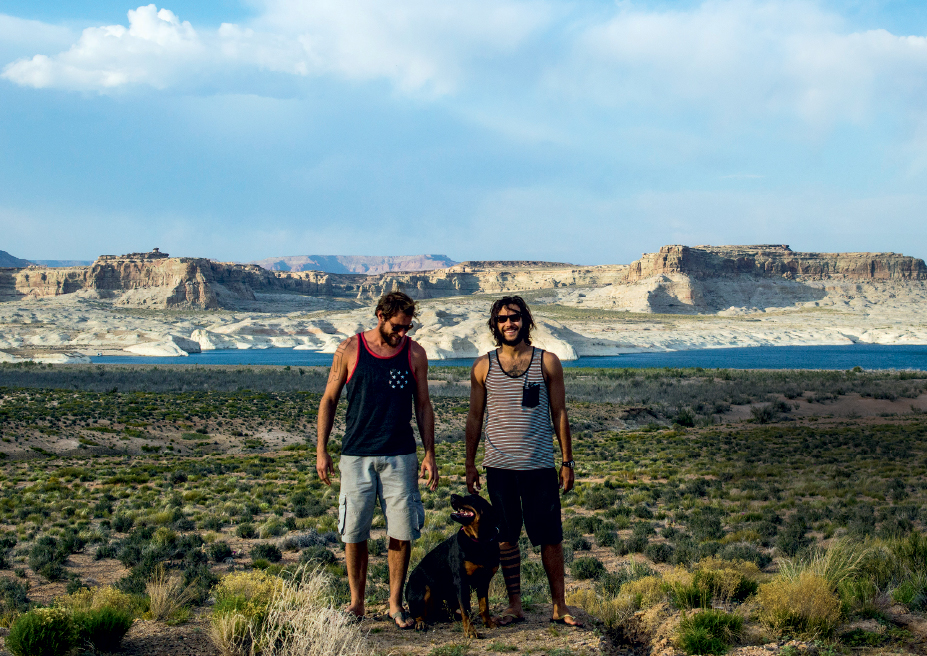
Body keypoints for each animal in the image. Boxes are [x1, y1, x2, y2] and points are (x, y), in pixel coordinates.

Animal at [405, 493, 500, 638]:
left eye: (472, 497)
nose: (452, 496)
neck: (479, 541)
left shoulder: (484, 581)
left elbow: (484, 607)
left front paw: (488, 623)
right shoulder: (461, 582)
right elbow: (466, 609)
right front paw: (471, 632)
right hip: (424, 590)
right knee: (417, 614)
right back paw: (420, 623)